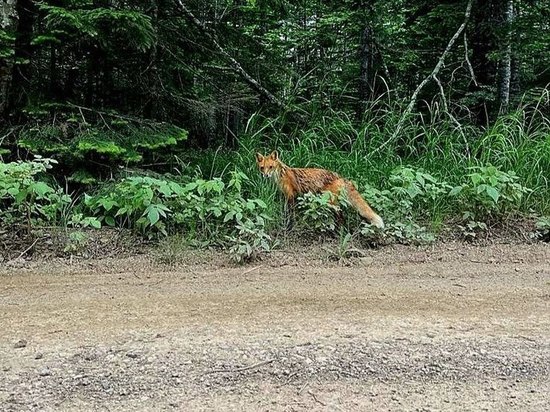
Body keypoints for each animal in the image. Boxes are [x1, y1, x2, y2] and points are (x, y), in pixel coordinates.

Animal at [256, 151, 386, 229]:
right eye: (262, 168)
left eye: (271, 167)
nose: (266, 175)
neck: (280, 175)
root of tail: (340, 176)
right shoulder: (288, 196)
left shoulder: (290, 196)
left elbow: (289, 215)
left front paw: (289, 226)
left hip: (331, 202)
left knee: (341, 216)